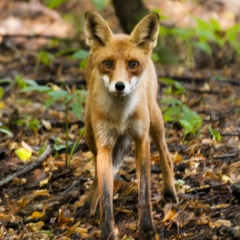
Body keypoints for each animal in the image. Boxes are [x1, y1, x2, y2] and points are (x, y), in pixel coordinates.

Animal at [77, 10, 178, 239]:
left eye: (133, 64)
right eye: (108, 63)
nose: (120, 86)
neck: (120, 117)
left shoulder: (142, 139)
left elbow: (145, 192)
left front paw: (147, 227)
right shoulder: (104, 145)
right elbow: (106, 194)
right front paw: (107, 231)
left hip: (155, 121)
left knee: (165, 154)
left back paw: (169, 191)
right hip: (90, 136)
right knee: (100, 173)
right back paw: (89, 204)